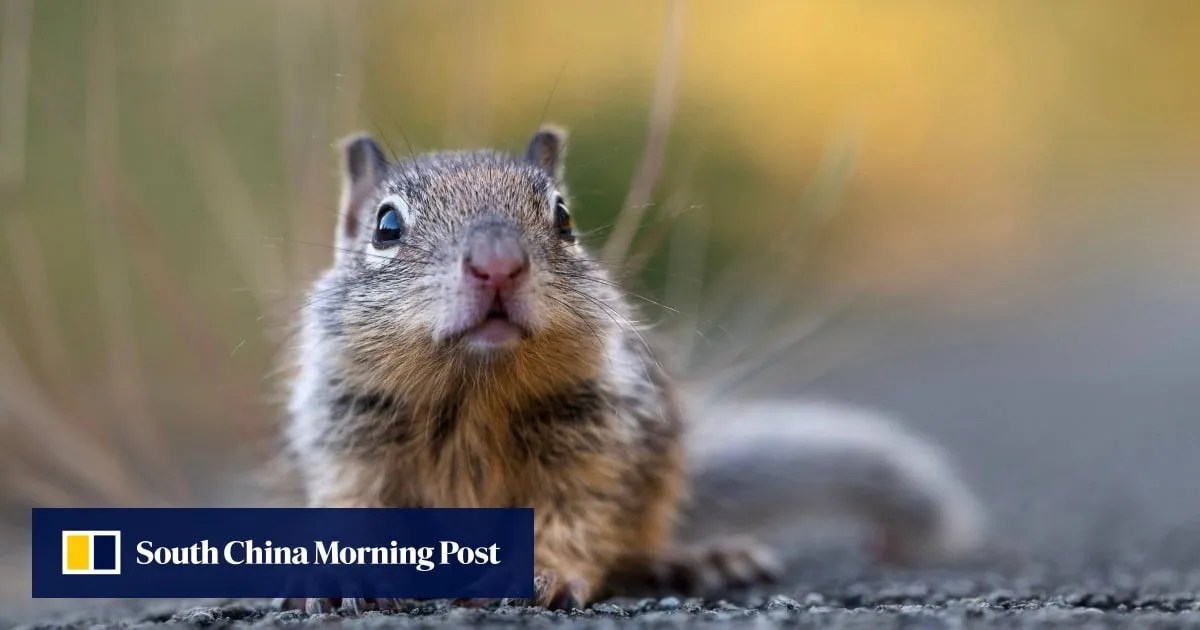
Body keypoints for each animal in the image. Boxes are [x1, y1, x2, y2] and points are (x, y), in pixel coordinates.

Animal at [274, 125, 986, 614]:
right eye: (386, 225)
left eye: (564, 217)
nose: (498, 265)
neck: (475, 388)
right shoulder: (352, 432)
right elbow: (354, 506)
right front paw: (343, 578)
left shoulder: (599, 436)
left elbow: (579, 514)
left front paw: (542, 573)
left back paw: (700, 559)